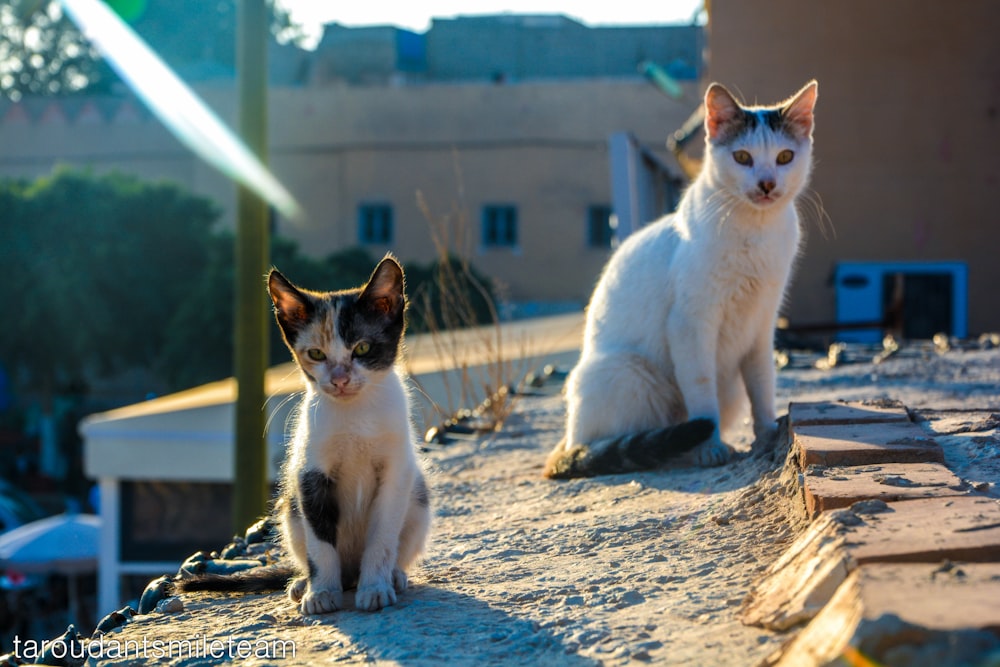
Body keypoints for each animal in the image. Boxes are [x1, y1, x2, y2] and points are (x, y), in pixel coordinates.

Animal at [548, 81, 820, 480]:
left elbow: (762, 384)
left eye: (785, 157)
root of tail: (568, 437)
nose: (767, 183)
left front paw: (767, 431)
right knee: (623, 441)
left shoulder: (761, 324)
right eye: (742, 157)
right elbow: (702, 393)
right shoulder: (691, 325)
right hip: (627, 373)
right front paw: (711, 447)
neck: (754, 232)